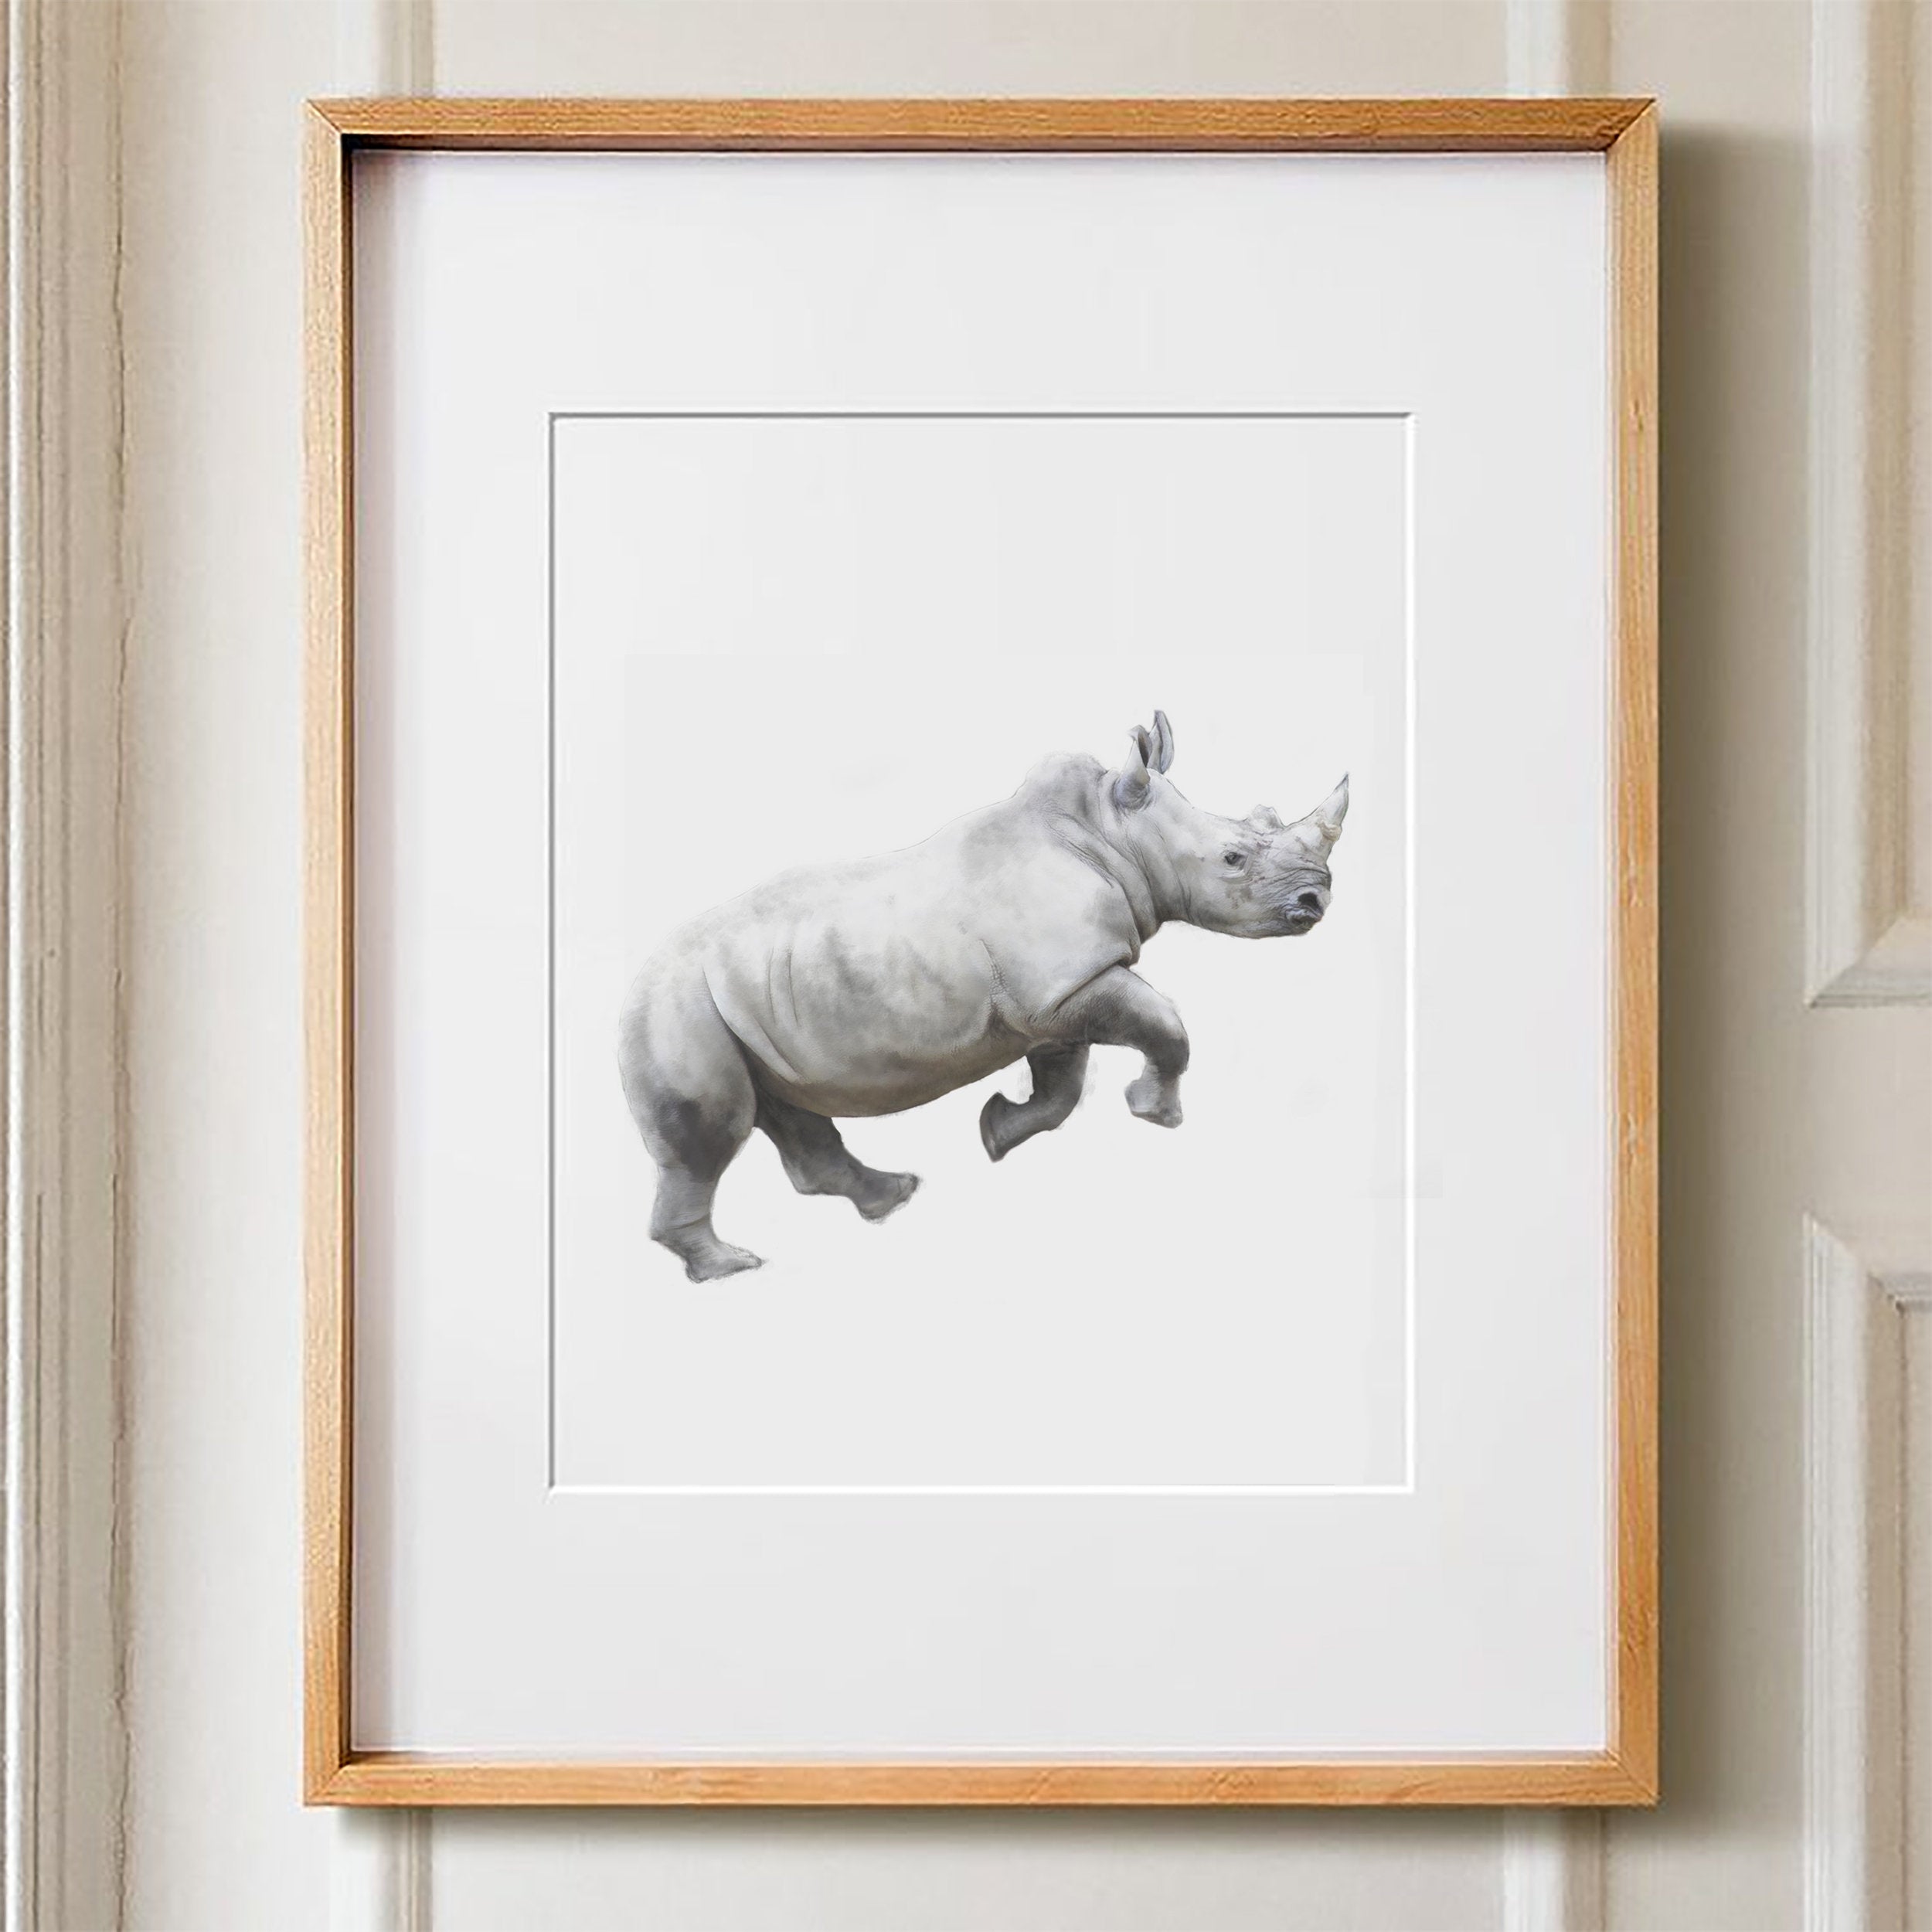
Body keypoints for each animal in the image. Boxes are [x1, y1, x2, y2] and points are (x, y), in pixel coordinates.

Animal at [618, 713, 1348, 1281]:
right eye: (1233, 859)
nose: (1316, 901)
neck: (1111, 835)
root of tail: (631, 984)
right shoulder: (1067, 987)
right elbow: (1163, 1023)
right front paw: (1156, 1115)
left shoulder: (1054, 1000)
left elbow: (1063, 1090)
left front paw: (996, 1131)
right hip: (677, 1006)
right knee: (716, 1129)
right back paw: (731, 1268)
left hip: (748, 997)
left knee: (786, 1107)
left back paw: (892, 1197)